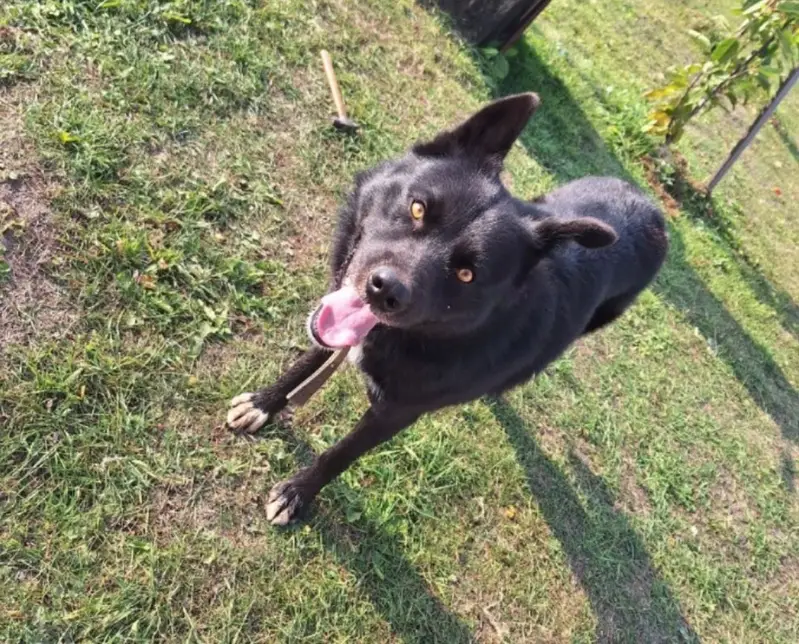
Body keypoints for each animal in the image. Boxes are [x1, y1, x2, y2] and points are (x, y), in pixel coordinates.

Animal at [226, 93, 667, 525]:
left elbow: (341, 454)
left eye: (467, 274)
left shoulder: (396, 413)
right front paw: (264, 403)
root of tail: (653, 210)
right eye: (418, 208)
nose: (384, 291)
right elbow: (312, 357)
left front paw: (297, 493)